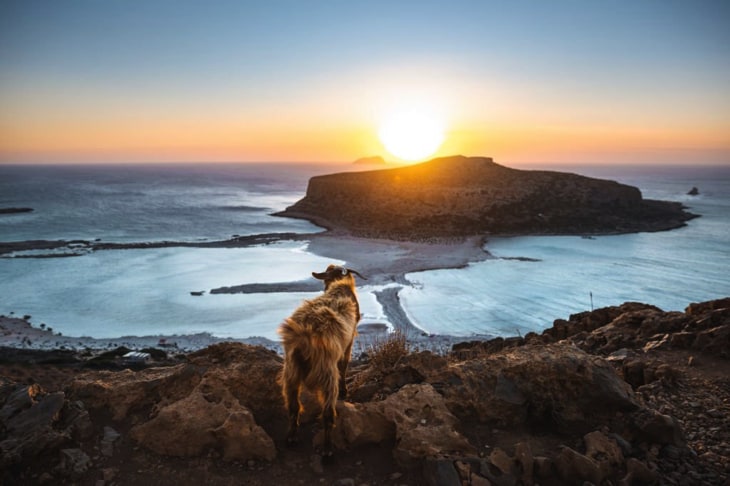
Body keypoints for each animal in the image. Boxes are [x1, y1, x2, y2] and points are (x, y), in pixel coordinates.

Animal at [278, 264, 364, 454]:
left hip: (291, 373)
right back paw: (328, 449)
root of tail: (304, 339)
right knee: (327, 413)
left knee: (293, 407)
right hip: (327, 374)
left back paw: (291, 437)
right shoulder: (349, 342)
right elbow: (344, 365)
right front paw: (345, 390)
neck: (341, 285)